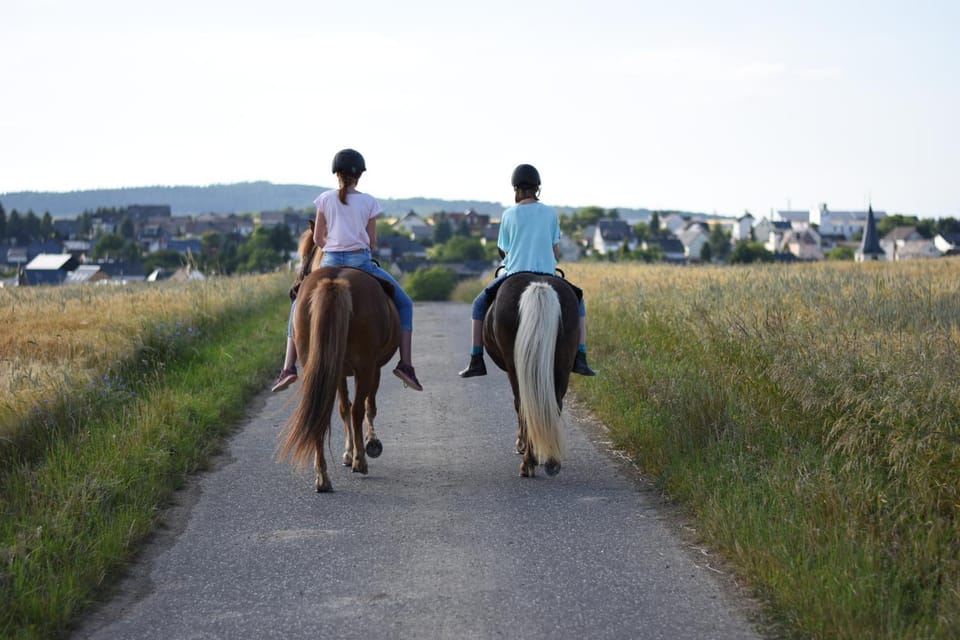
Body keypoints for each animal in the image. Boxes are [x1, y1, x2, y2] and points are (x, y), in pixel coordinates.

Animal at [279, 227, 401, 492]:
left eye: (305, 254)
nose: (292, 290)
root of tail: (334, 281)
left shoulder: (338, 370)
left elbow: (343, 407)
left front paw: (348, 452)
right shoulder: (372, 368)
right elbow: (366, 406)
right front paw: (368, 445)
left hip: (317, 365)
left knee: (322, 412)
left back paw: (322, 477)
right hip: (364, 367)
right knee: (357, 409)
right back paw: (360, 461)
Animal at [483, 272, 580, 477]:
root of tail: (539, 286)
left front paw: (521, 445)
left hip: (515, 366)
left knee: (523, 403)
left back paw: (528, 462)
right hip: (563, 362)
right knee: (555, 402)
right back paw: (551, 461)